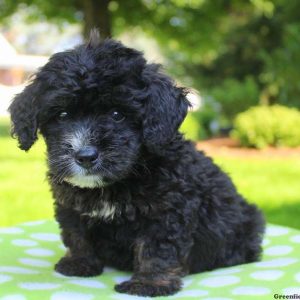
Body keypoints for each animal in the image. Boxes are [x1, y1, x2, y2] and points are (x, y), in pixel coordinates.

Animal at [8, 31, 264, 296]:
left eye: (117, 114)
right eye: (62, 115)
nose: (85, 155)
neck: (113, 184)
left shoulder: (167, 211)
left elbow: (156, 248)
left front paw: (149, 283)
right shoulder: (70, 203)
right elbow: (76, 233)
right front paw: (79, 263)